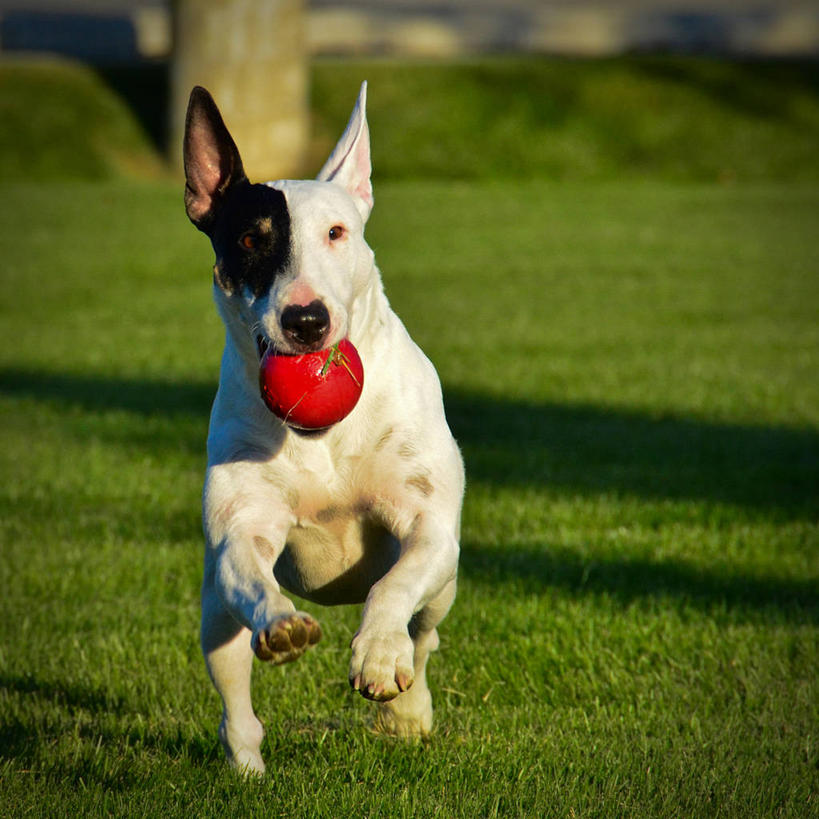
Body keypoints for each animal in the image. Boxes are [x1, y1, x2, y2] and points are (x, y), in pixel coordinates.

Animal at [187, 83, 468, 776]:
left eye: (337, 233)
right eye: (250, 239)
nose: (306, 320)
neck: (324, 434)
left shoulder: (428, 523)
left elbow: (396, 585)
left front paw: (379, 657)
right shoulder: (243, 528)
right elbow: (251, 571)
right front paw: (283, 625)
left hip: (446, 586)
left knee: (425, 631)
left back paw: (406, 708)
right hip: (213, 613)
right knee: (230, 673)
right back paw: (246, 762)